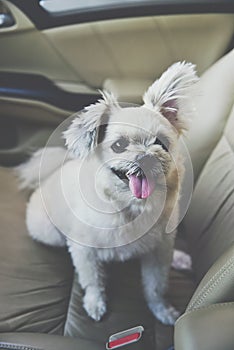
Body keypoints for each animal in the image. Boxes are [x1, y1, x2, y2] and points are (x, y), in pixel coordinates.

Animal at [16, 62, 197, 326]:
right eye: (119, 146)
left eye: (161, 143)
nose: (146, 157)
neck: (130, 207)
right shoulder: (84, 251)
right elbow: (92, 281)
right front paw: (95, 303)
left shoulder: (158, 253)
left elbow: (155, 287)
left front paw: (162, 310)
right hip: (49, 233)